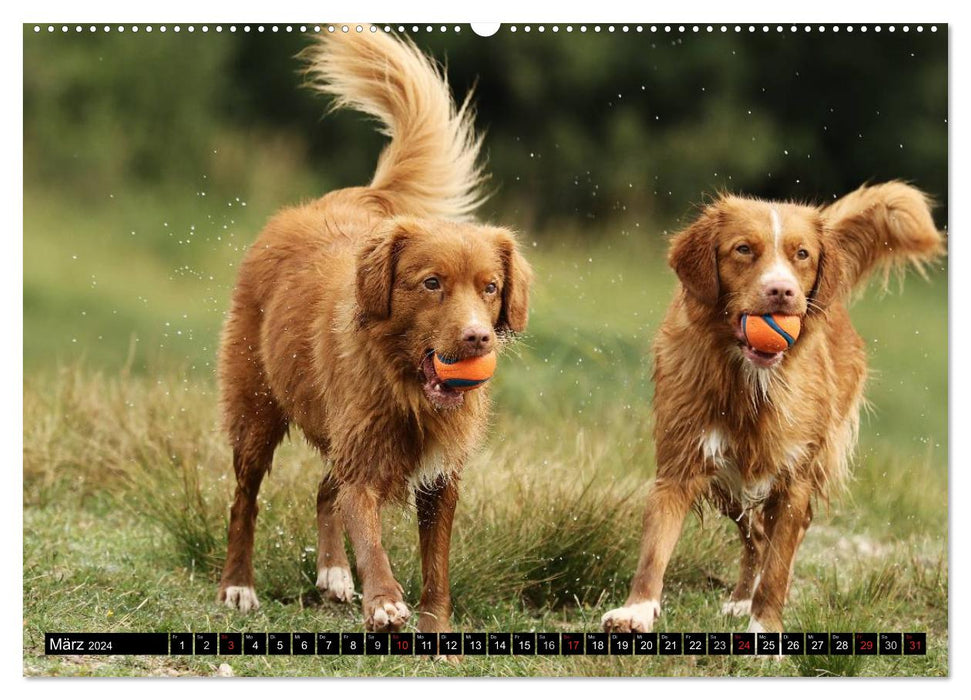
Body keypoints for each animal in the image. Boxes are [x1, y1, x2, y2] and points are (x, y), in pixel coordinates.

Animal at [216, 30, 532, 636]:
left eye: (489, 287)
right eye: (431, 283)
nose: (477, 338)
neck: (405, 387)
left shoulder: (439, 478)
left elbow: (435, 565)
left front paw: (436, 628)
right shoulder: (364, 460)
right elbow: (368, 532)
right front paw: (384, 601)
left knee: (325, 491)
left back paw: (333, 573)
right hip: (256, 411)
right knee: (246, 500)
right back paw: (237, 585)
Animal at [604, 182, 944, 636]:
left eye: (802, 254)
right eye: (744, 249)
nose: (782, 292)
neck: (750, 380)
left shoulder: (795, 476)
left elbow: (780, 565)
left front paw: (765, 626)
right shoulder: (682, 463)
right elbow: (655, 549)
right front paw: (637, 610)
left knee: (783, 537)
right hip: (730, 485)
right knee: (755, 538)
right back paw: (740, 598)